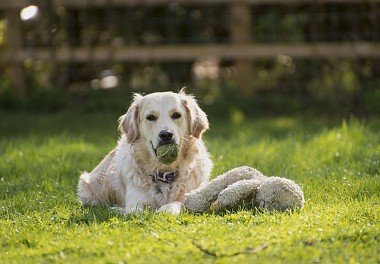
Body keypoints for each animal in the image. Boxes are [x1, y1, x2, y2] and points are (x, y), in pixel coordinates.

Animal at [77, 89, 214, 214]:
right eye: (150, 117)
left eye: (176, 115)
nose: (166, 134)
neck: (165, 173)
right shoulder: (136, 202)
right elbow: (138, 211)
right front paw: (120, 210)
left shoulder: (191, 195)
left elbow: (176, 203)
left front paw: (167, 209)